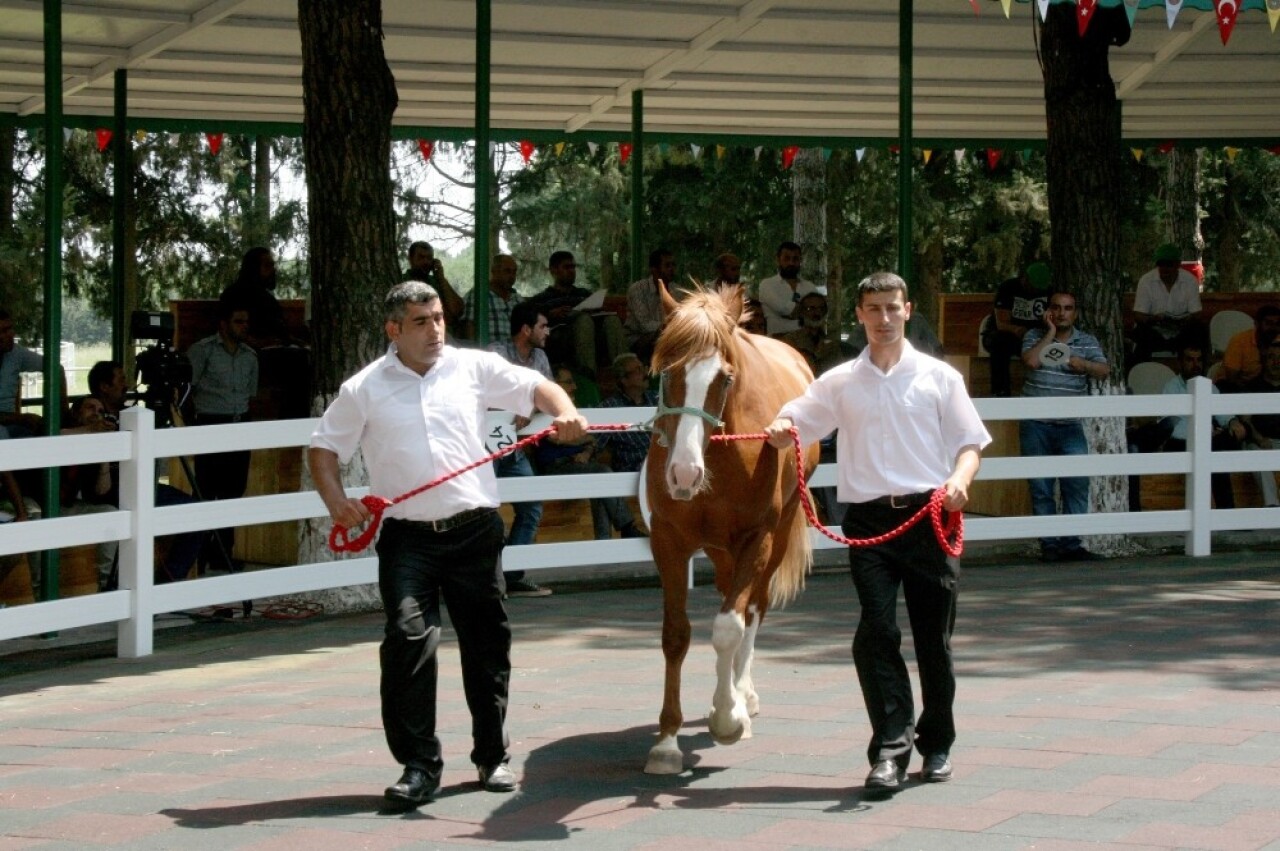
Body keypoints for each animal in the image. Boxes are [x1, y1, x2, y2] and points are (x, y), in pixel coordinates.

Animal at [645, 285, 814, 778]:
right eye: (668, 373)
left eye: (724, 378)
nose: (683, 473)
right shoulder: (668, 541)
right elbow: (675, 635)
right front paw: (666, 741)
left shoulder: (756, 539)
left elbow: (728, 628)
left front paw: (727, 717)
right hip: (721, 552)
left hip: (774, 539)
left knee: (752, 609)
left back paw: (743, 697)